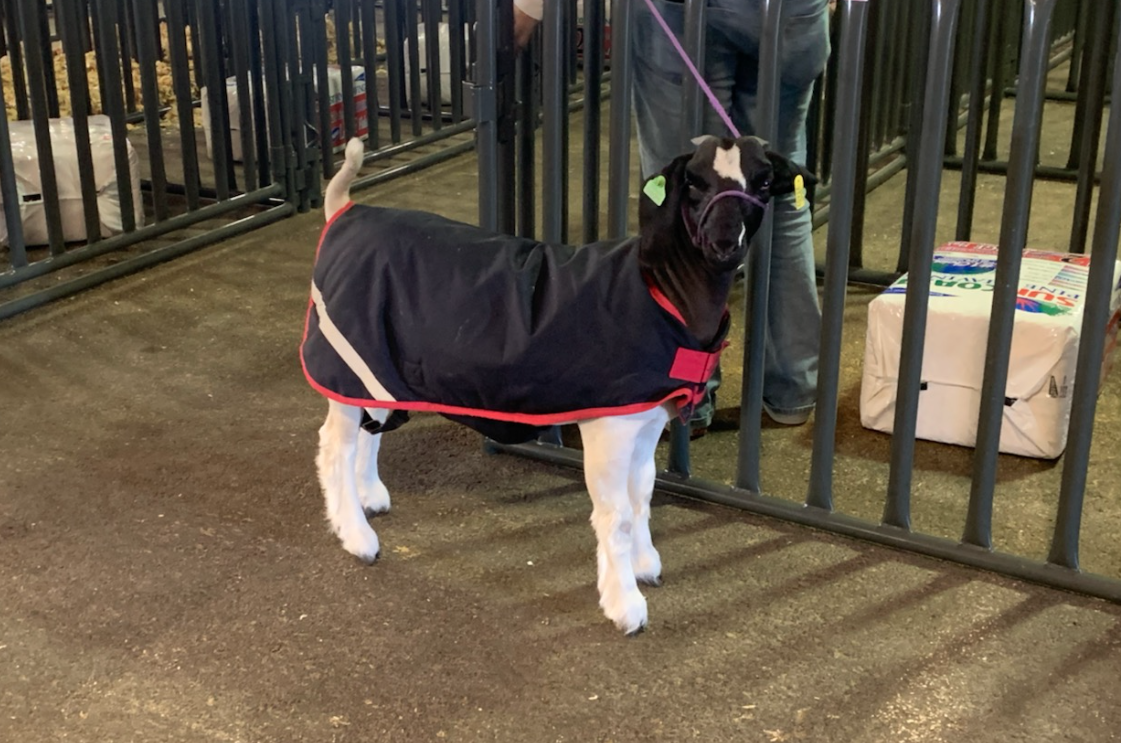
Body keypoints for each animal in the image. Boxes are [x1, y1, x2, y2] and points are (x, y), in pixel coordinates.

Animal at [303, 136, 814, 634]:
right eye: (693, 182)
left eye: (763, 182)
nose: (725, 242)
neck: (663, 288)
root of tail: (345, 210)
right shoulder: (609, 423)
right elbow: (617, 515)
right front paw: (625, 604)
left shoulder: (646, 417)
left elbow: (643, 493)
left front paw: (644, 563)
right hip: (342, 354)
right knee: (334, 448)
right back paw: (357, 535)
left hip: (375, 365)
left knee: (371, 428)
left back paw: (370, 496)